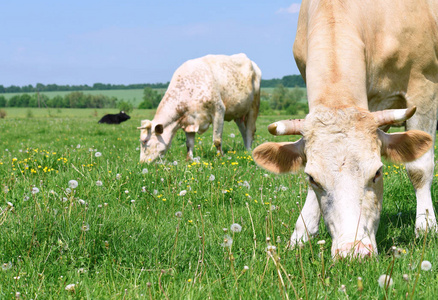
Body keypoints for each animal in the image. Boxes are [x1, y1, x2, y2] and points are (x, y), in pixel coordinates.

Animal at [252, 0, 436, 258]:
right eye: (312, 178)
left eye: (377, 172)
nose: (354, 251)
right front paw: (301, 234)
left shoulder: (424, 88)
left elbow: (419, 168)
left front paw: (426, 226)